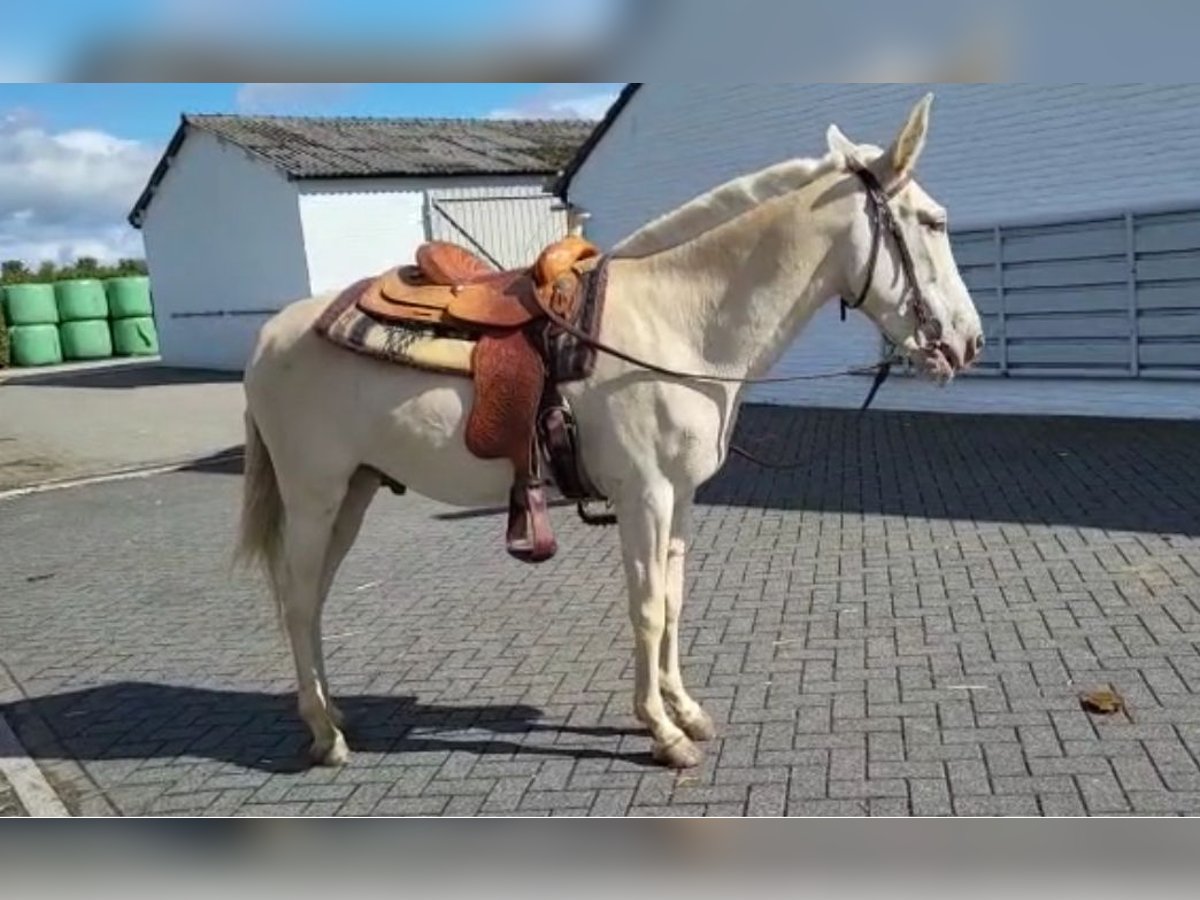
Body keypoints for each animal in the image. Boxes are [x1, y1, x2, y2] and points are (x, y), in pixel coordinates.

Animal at [236, 93, 984, 777]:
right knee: (297, 599)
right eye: (933, 221)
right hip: (315, 494)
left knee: (312, 598)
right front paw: (662, 732)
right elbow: (647, 606)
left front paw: (686, 710)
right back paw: (326, 735)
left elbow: (674, 599)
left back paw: (333, 714)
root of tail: (269, 338)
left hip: (353, 493)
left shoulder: (681, 497)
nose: (969, 342)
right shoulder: (643, 496)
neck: (678, 319)